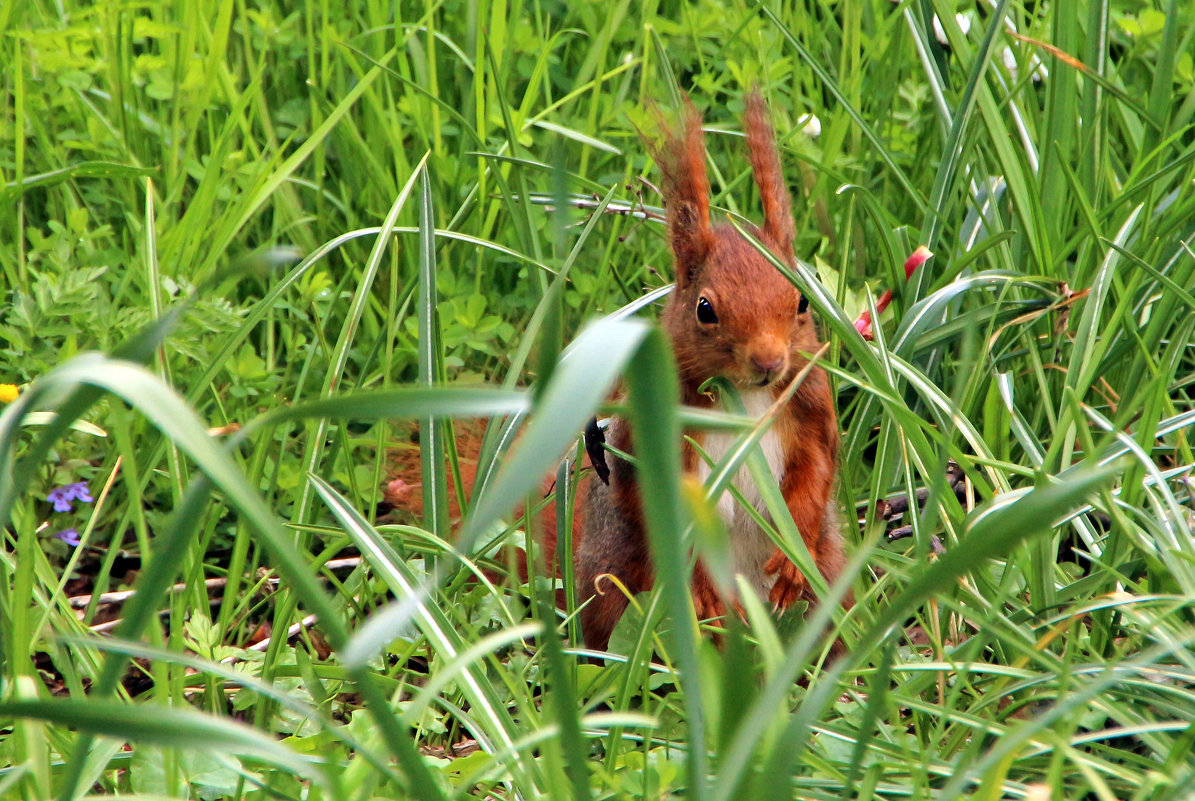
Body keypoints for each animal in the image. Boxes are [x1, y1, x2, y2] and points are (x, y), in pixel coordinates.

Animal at [568, 95, 850, 650]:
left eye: (802, 301)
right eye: (704, 309)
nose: (769, 361)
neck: (743, 396)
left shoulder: (808, 402)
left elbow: (814, 473)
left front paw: (791, 560)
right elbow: (666, 506)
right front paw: (700, 592)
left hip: (830, 576)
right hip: (616, 580)